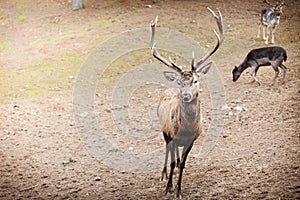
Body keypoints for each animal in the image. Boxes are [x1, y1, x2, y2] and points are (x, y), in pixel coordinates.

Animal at [150, 7, 223, 198]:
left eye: (195, 80)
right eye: (179, 82)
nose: (186, 95)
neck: (185, 130)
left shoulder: (192, 140)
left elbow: (182, 163)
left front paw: (178, 191)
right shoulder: (172, 137)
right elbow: (173, 161)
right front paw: (168, 188)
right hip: (164, 131)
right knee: (167, 150)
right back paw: (163, 174)